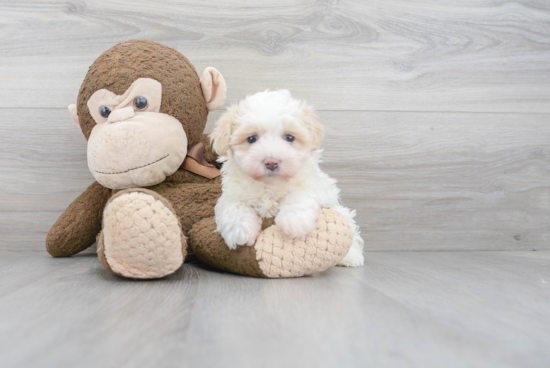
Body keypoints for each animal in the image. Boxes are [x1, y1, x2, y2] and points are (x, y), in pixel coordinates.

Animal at [211, 90, 366, 266]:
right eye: (252, 138)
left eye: (289, 138)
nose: (271, 162)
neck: (271, 184)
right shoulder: (232, 193)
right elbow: (232, 207)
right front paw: (240, 230)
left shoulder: (314, 186)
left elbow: (299, 196)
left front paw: (294, 222)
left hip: (340, 212)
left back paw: (351, 257)